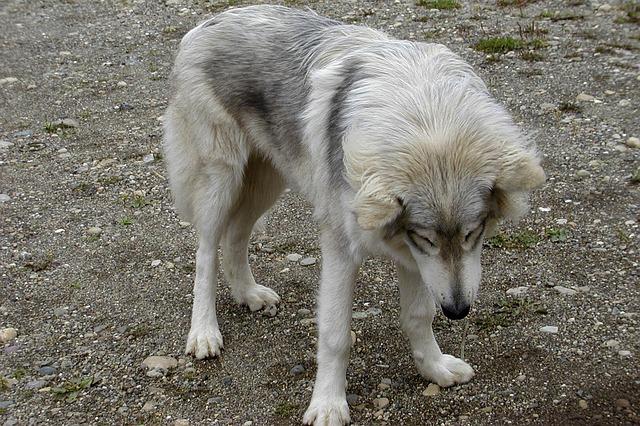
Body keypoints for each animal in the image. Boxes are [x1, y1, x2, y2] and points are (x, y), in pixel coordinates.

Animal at [164, 5, 544, 424]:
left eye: (473, 234)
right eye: (427, 237)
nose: (458, 311)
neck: (426, 114)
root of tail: (209, 22)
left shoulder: (413, 258)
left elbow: (418, 316)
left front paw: (435, 368)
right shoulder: (345, 250)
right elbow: (335, 335)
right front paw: (328, 404)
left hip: (267, 180)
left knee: (236, 235)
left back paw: (248, 294)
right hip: (222, 179)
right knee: (205, 253)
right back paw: (204, 332)